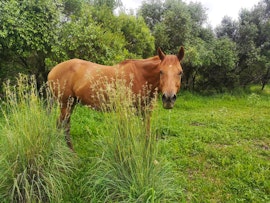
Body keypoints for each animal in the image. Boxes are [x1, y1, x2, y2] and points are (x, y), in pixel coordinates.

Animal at [47, 47, 185, 149]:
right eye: (161, 71)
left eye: (180, 72)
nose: (169, 98)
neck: (140, 76)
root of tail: (52, 70)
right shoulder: (125, 113)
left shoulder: (146, 113)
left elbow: (146, 135)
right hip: (65, 105)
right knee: (63, 125)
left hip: (71, 104)